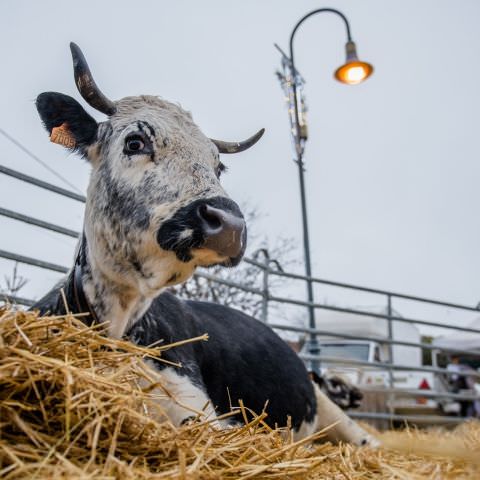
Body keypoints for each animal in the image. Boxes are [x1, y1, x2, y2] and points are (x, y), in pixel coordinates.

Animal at [32, 44, 378, 446]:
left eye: (218, 166)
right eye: (135, 142)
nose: (230, 224)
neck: (116, 320)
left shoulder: (199, 411)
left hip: (335, 416)